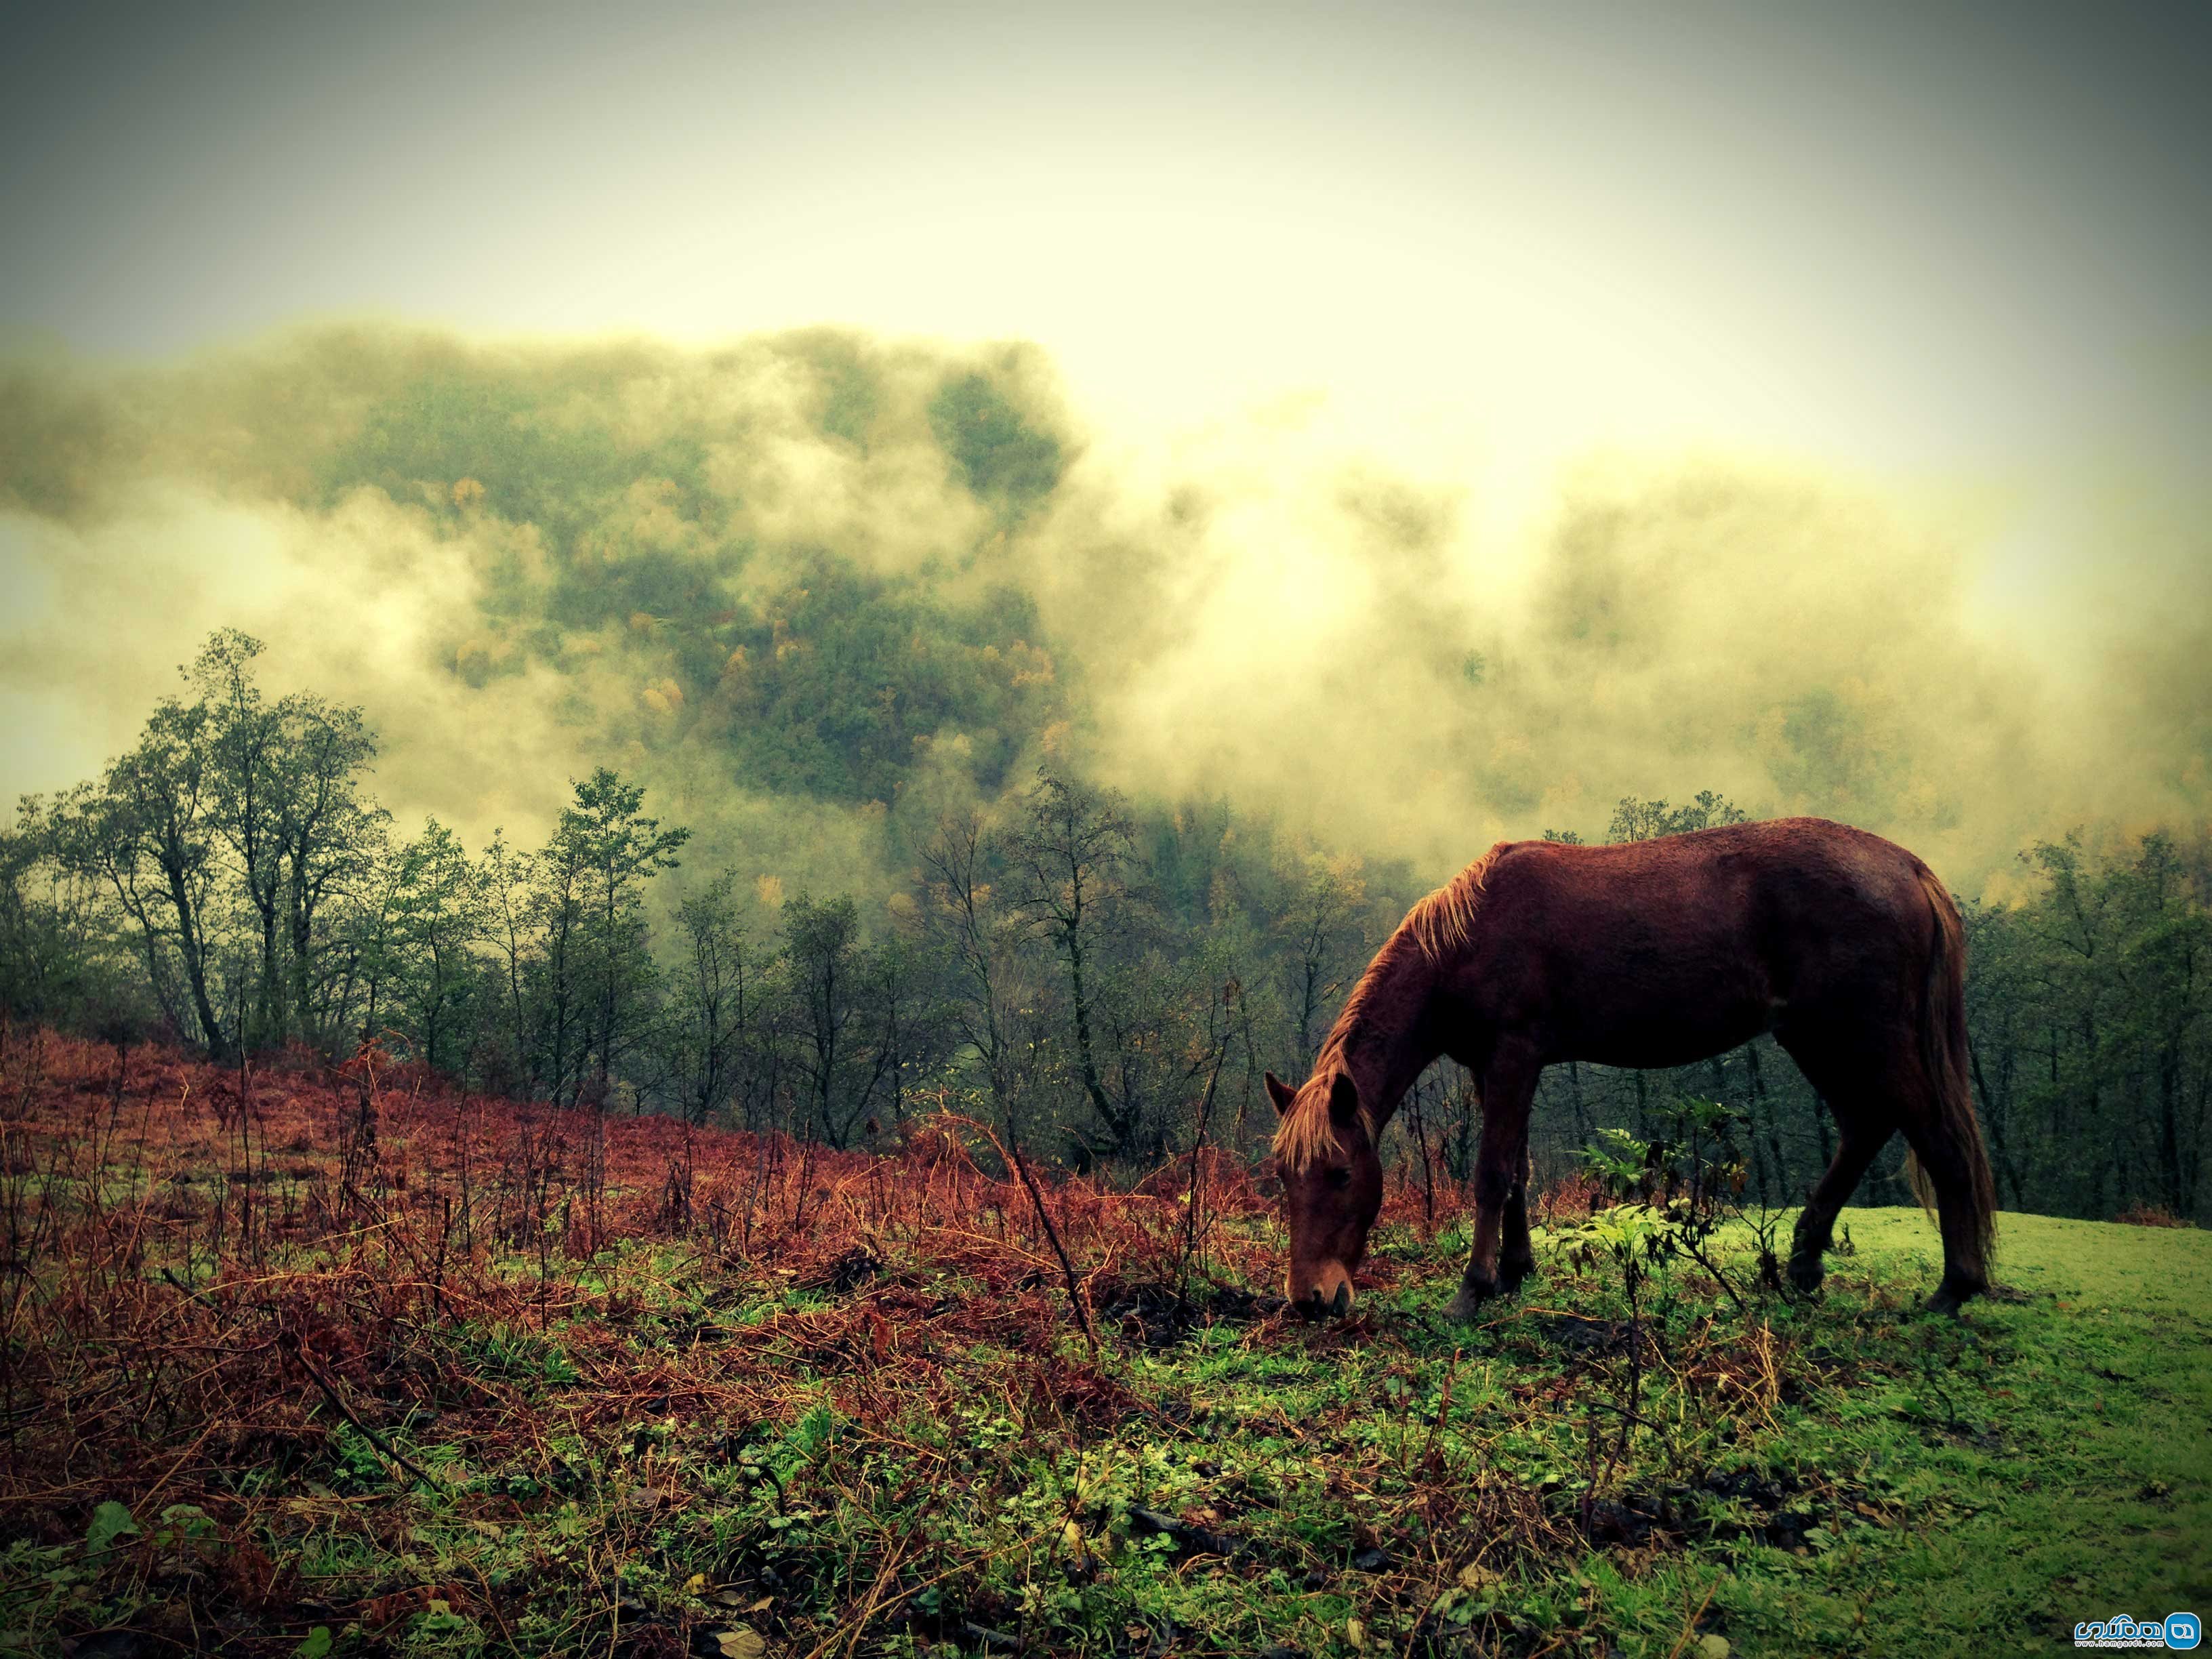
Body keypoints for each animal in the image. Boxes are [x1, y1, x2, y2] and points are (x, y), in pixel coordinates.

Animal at [1265, 818, 2008, 1327]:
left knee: (1938, 1140)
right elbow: (1519, 1175)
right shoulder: (1494, 1066)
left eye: (1340, 1174)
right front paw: (1514, 1273)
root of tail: (1906, 866)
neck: (1469, 935)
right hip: (1817, 1038)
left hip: (1864, 1037)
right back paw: (1803, 1264)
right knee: (1866, 1127)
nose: (1309, 1299)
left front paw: (1471, 1292)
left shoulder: (1513, 1056)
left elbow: (1492, 1175)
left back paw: (1954, 1288)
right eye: (1283, 1178)